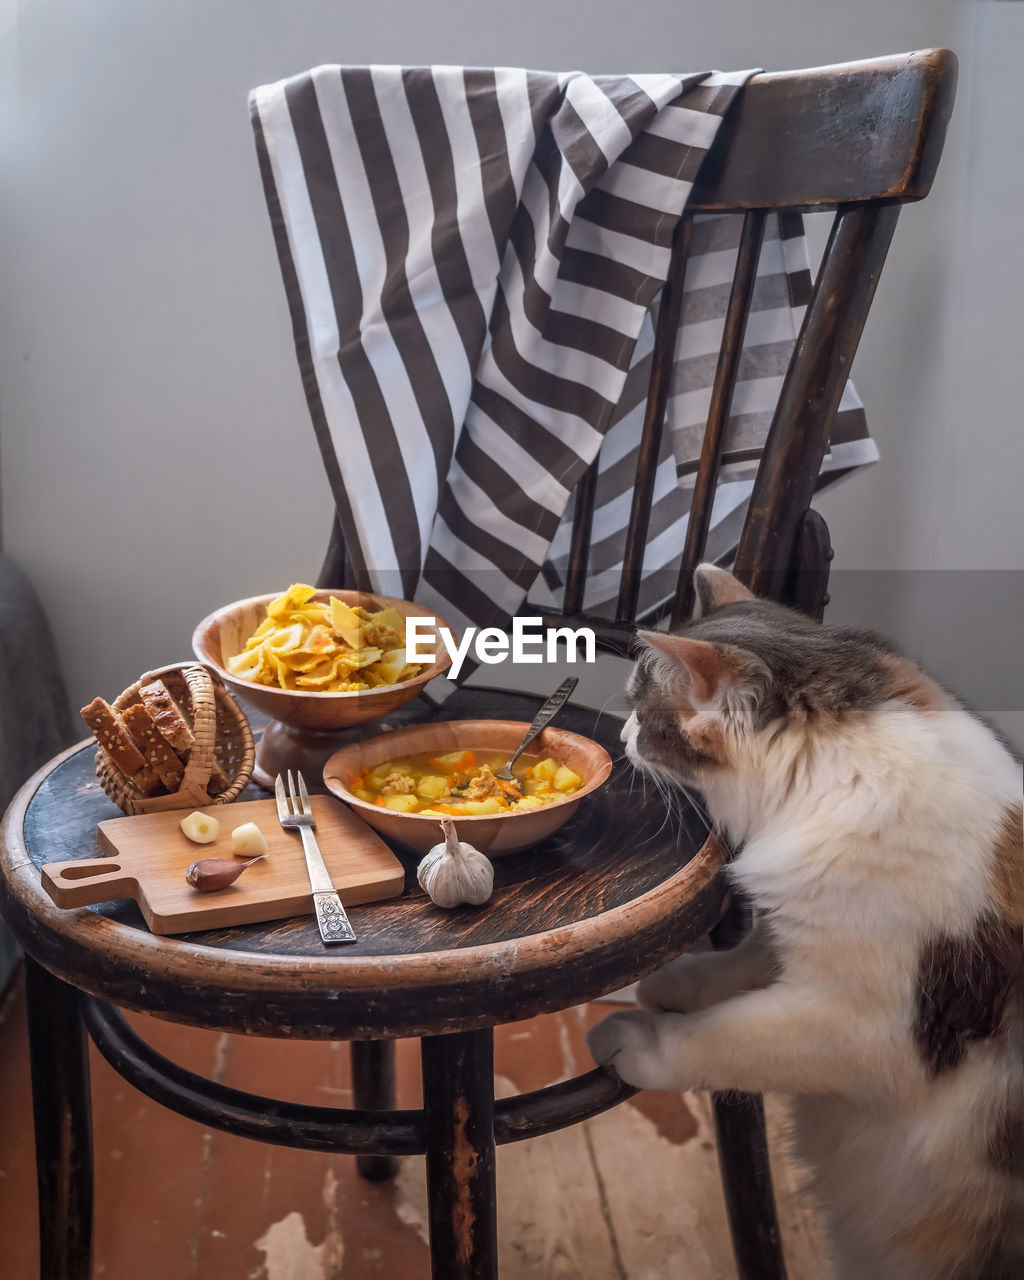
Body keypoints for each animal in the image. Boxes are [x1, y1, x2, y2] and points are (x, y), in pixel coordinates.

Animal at [588, 565, 1018, 1274]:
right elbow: (739, 962)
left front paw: (642, 1039)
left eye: (643, 714)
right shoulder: (801, 926)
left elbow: (723, 1038)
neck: (833, 776)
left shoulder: (862, 1024)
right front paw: (673, 984)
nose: (622, 738)